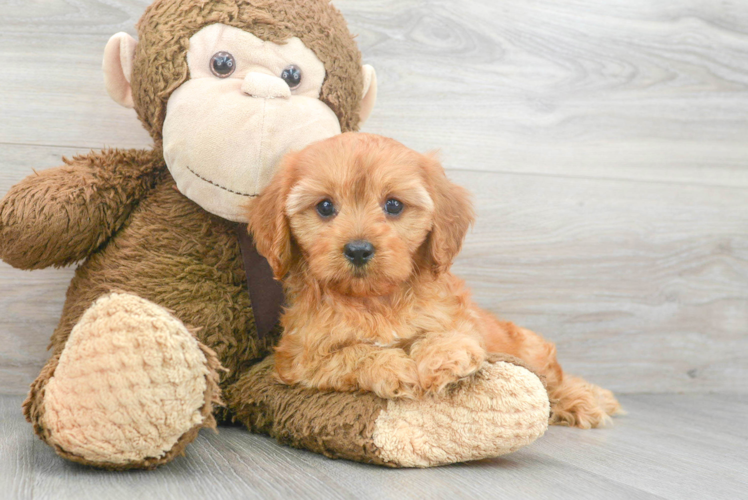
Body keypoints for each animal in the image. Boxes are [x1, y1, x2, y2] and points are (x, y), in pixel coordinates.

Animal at [248, 133, 624, 430]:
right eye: (325, 207)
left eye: (393, 205)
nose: (358, 249)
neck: (376, 300)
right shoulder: (299, 359)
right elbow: (353, 353)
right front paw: (393, 369)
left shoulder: (459, 318)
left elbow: (448, 333)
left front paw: (443, 359)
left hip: (531, 347)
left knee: (555, 379)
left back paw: (582, 400)